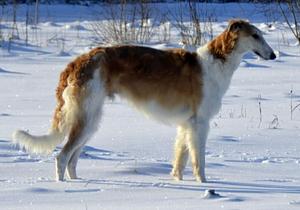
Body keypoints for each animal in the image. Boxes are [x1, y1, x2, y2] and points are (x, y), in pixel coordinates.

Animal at [12, 20, 276, 182]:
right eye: (255, 35)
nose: (273, 55)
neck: (215, 63)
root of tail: (77, 62)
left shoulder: (186, 124)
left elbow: (179, 160)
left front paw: (179, 182)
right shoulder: (200, 124)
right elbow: (198, 161)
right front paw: (203, 184)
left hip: (91, 120)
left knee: (72, 159)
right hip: (85, 118)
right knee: (62, 156)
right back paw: (64, 188)